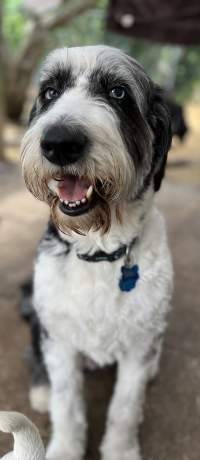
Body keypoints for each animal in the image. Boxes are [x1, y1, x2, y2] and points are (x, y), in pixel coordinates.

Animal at [20, 45, 173, 460]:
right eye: (50, 92)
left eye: (119, 93)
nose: (59, 143)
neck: (100, 249)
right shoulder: (60, 341)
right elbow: (67, 404)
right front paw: (63, 449)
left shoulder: (137, 347)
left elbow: (125, 407)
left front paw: (120, 450)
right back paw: (39, 389)